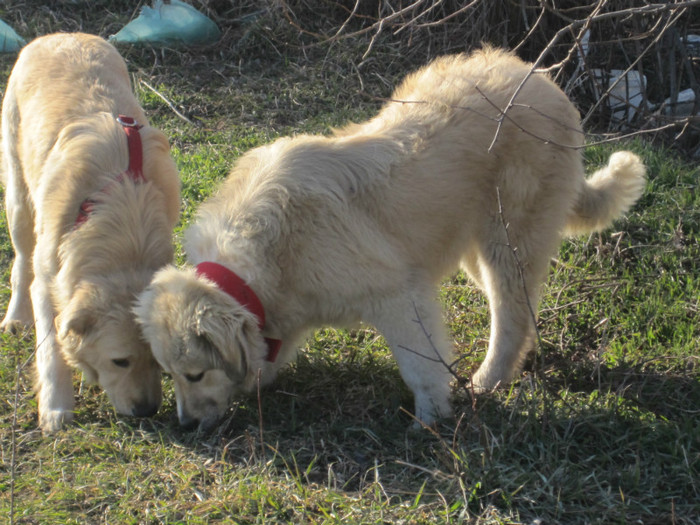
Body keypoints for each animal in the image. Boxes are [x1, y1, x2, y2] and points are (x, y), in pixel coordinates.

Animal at [0, 33, 180, 434]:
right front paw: (56, 408)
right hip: (19, 200)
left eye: (159, 362)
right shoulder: (49, 282)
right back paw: (15, 317)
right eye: (120, 361)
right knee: (21, 260)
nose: (147, 411)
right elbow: (52, 347)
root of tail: (58, 35)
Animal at [133, 47, 644, 430]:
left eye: (195, 374)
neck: (271, 255)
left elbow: (420, 364)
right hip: (478, 250)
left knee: (511, 315)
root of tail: (542, 81)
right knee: (522, 306)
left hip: (508, 239)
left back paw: (488, 381)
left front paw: (432, 418)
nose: (185, 426)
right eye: (170, 375)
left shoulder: (397, 296)